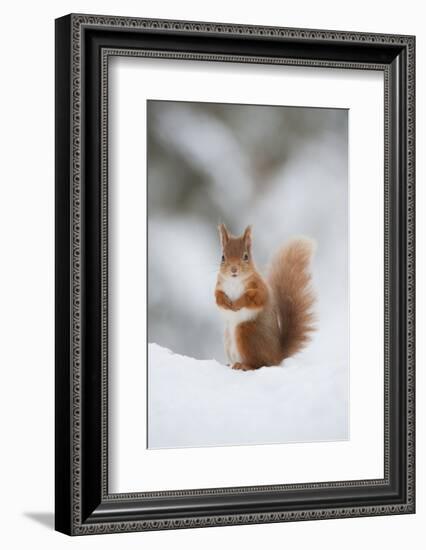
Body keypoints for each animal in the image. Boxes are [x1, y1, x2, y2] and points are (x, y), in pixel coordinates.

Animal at [215, 223, 314, 370]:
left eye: (245, 256)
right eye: (223, 257)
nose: (233, 269)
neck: (234, 281)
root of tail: (276, 356)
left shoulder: (260, 289)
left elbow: (254, 298)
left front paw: (238, 303)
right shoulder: (219, 286)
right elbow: (218, 298)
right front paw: (226, 303)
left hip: (246, 332)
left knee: (259, 364)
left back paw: (244, 365)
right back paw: (231, 364)